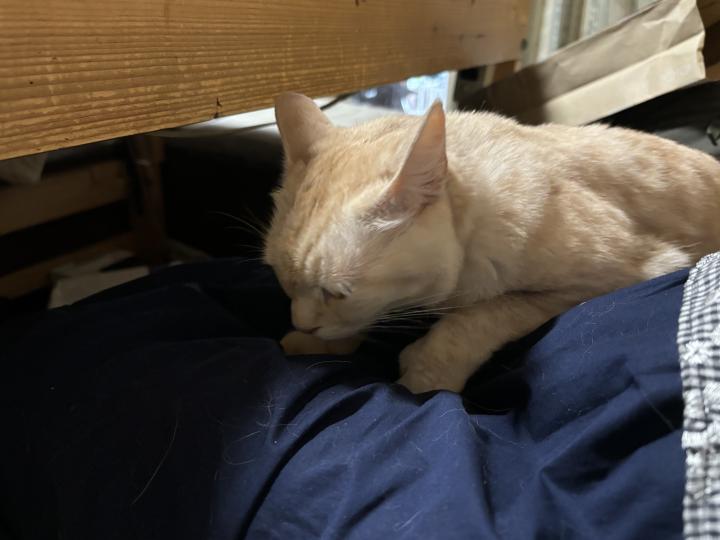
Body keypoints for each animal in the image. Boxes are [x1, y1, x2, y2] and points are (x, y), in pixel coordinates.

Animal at [263, 92, 720, 394]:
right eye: (281, 280)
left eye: (337, 292)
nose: (302, 322)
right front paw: (314, 342)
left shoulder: (636, 270)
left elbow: (479, 317)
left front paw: (423, 373)